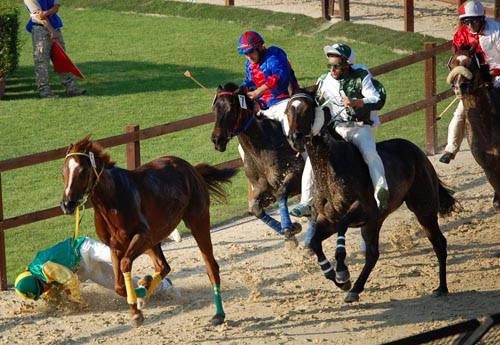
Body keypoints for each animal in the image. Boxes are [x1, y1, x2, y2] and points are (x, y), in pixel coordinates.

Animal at [60, 135, 236, 326]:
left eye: (82, 171)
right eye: (63, 172)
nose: (67, 204)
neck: (113, 199)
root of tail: (191, 169)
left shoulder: (142, 236)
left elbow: (125, 264)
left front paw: (138, 304)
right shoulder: (115, 246)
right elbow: (118, 286)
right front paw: (138, 301)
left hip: (197, 221)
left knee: (211, 266)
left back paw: (219, 314)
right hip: (156, 239)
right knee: (163, 266)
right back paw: (146, 286)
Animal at [210, 82, 302, 241]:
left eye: (230, 109)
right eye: (215, 108)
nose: (217, 140)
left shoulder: (295, 174)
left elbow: (281, 193)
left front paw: (289, 228)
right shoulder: (260, 187)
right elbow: (255, 209)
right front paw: (289, 229)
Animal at [286, 90, 454, 302]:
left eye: (307, 109)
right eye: (287, 110)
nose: (294, 138)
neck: (331, 169)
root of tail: (418, 152)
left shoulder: (361, 210)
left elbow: (342, 227)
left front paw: (342, 272)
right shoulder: (329, 219)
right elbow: (315, 242)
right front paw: (336, 277)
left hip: (423, 210)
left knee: (439, 242)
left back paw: (442, 287)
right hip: (376, 222)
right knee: (373, 254)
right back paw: (354, 289)